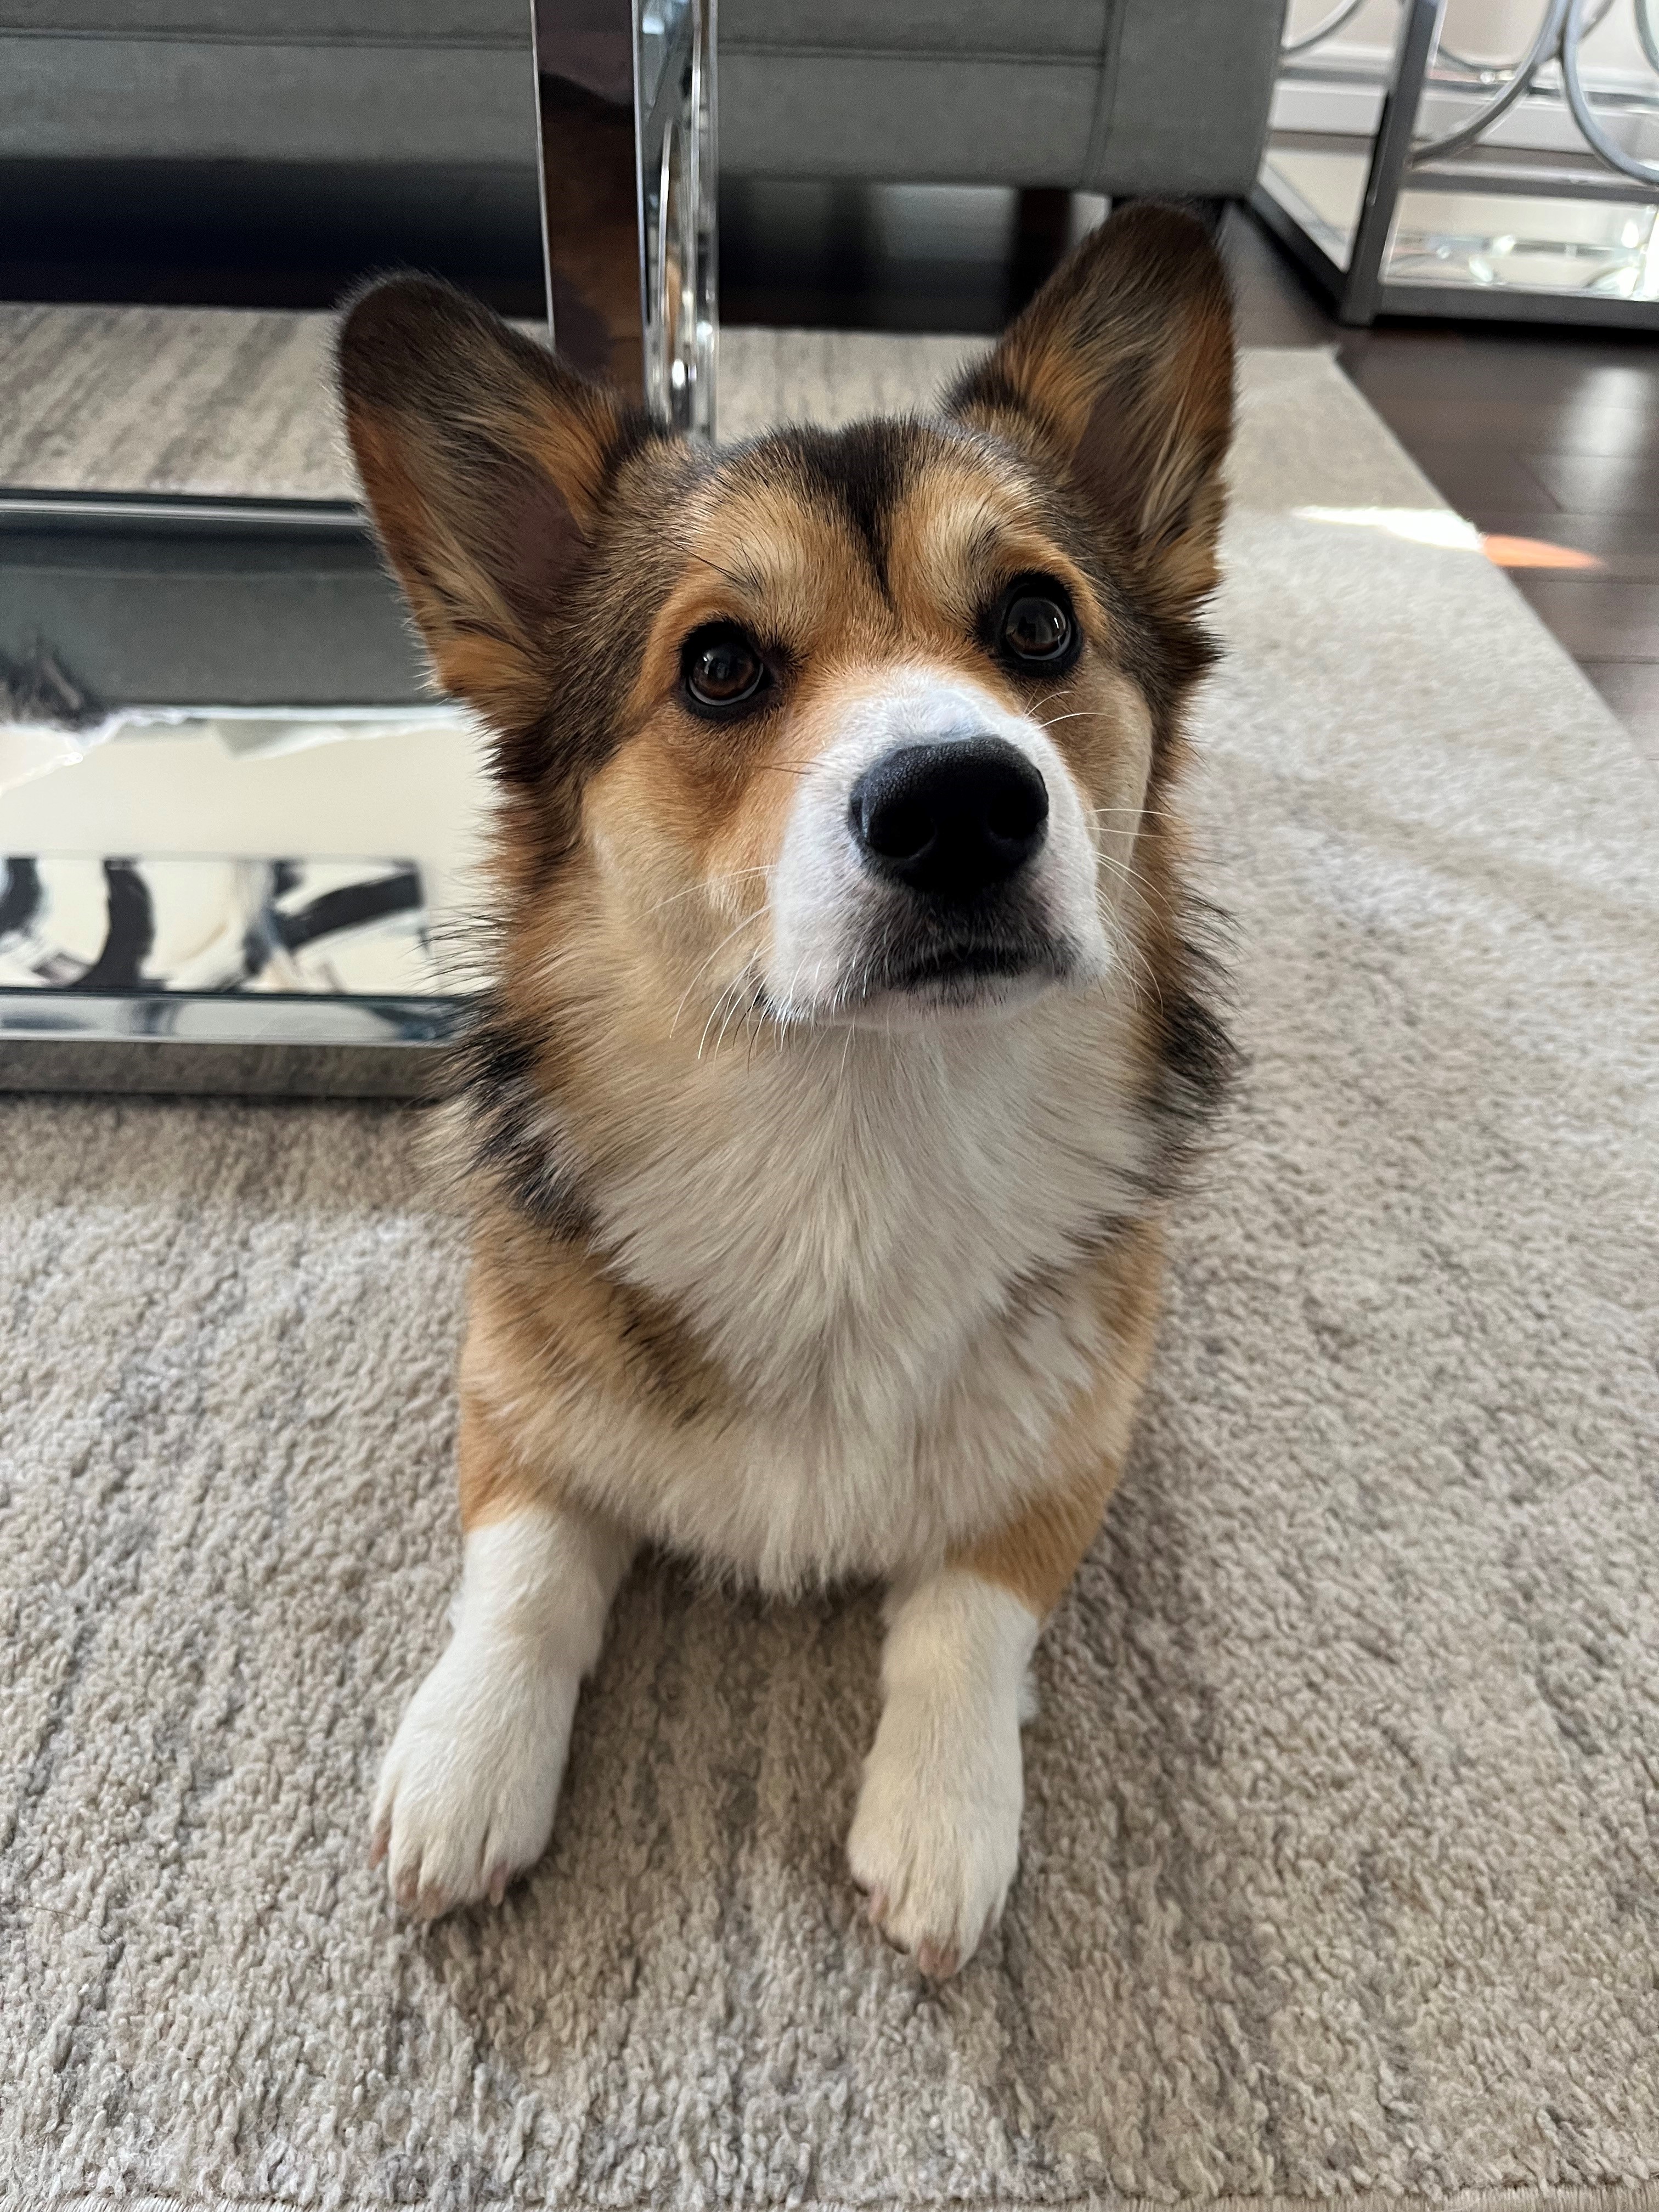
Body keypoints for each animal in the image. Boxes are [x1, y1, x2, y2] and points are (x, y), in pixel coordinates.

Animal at [338, 203, 1235, 1978]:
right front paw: (465, 1763)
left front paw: (943, 1820)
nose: (962, 806)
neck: (853, 1127)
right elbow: (525, 1573)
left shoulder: (1079, 1445)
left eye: (1039, 625)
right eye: (721, 667)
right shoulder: (511, 1386)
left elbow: (973, 1611)